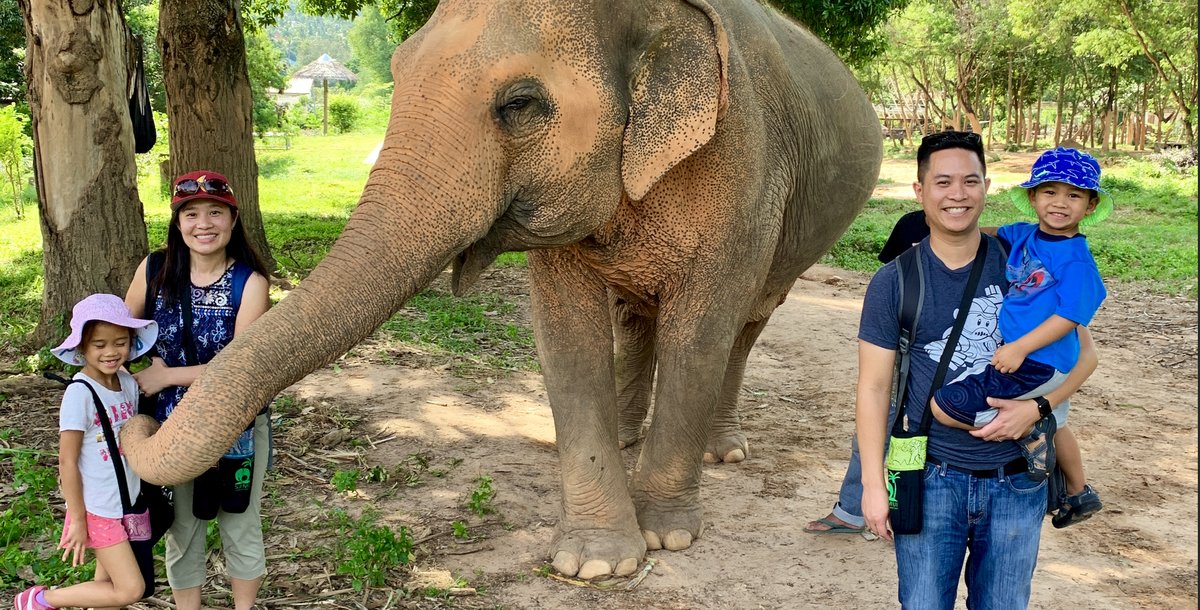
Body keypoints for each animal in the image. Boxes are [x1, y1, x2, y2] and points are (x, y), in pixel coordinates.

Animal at [122, 0, 882, 580]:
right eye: (397, 73)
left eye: (521, 104)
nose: (137, 414)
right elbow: (566, 336)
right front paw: (595, 562)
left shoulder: (742, 168)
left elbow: (701, 330)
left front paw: (664, 539)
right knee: (635, 315)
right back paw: (629, 434)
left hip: (798, 231)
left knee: (745, 326)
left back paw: (723, 453)